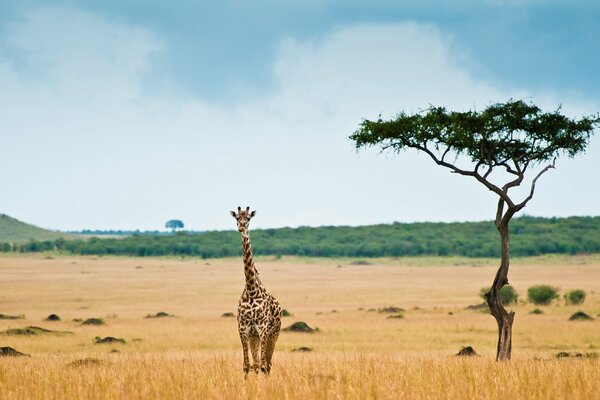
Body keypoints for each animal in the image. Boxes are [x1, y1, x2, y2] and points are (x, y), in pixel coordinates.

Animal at [232, 206, 284, 376]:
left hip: (274, 333)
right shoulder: (243, 328)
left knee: (267, 364)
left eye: (248, 218)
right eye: (237, 218)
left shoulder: (263, 328)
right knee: (256, 364)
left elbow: (262, 365)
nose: (242, 228)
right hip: (254, 336)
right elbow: (247, 365)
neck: (251, 290)